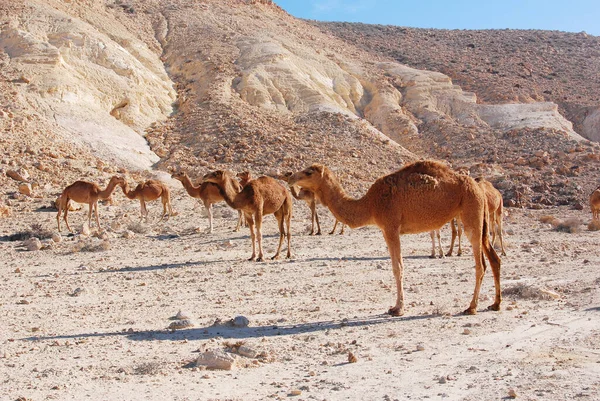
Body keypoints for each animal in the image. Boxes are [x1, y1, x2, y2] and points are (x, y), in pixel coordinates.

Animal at [290, 160, 502, 316]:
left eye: (308, 172)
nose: (291, 175)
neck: (370, 204)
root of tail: (478, 187)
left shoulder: (390, 227)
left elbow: (397, 267)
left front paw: (398, 308)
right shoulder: (386, 229)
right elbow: (395, 266)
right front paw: (395, 306)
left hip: (471, 211)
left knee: (481, 263)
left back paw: (472, 307)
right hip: (480, 216)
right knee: (494, 258)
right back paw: (495, 304)